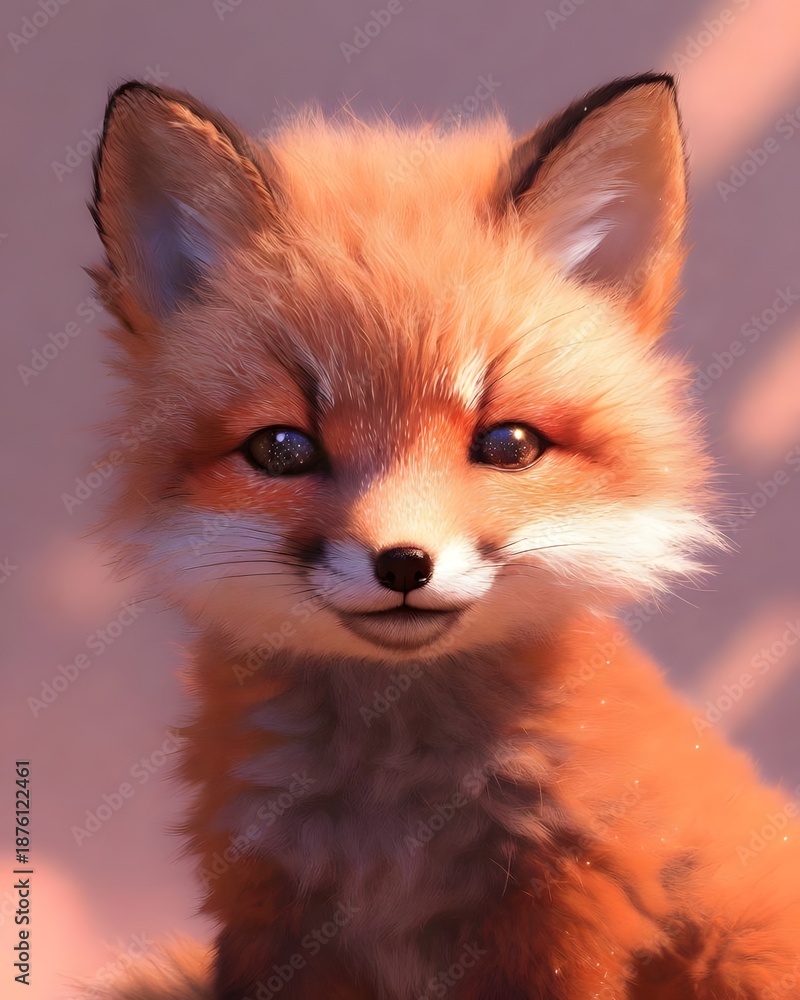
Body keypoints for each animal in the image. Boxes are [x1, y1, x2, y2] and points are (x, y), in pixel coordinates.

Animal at [79, 73, 800, 999]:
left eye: (509, 443)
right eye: (282, 449)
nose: (402, 564)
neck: (396, 820)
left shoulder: (569, 914)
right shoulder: (274, 916)